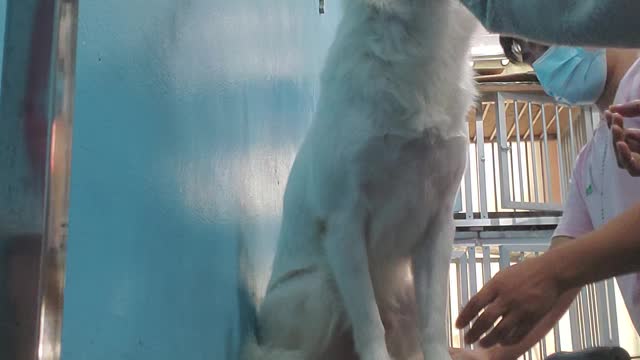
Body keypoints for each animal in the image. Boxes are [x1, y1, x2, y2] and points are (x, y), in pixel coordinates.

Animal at [242, 0, 478, 360]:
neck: (417, 35)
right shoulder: (345, 224)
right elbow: (369, 322)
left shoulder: (438, 226)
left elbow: (435, 322)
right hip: (321, 289)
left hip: (405, 296)